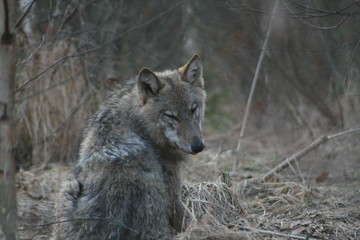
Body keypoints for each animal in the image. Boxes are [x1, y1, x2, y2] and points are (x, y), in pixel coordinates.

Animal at [52, 55, 207, 239]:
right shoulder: (173, 197)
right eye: (170, 116)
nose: (198, 146)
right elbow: (192, 220)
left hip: (68, 190)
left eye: (193, 109)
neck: (140, 124)